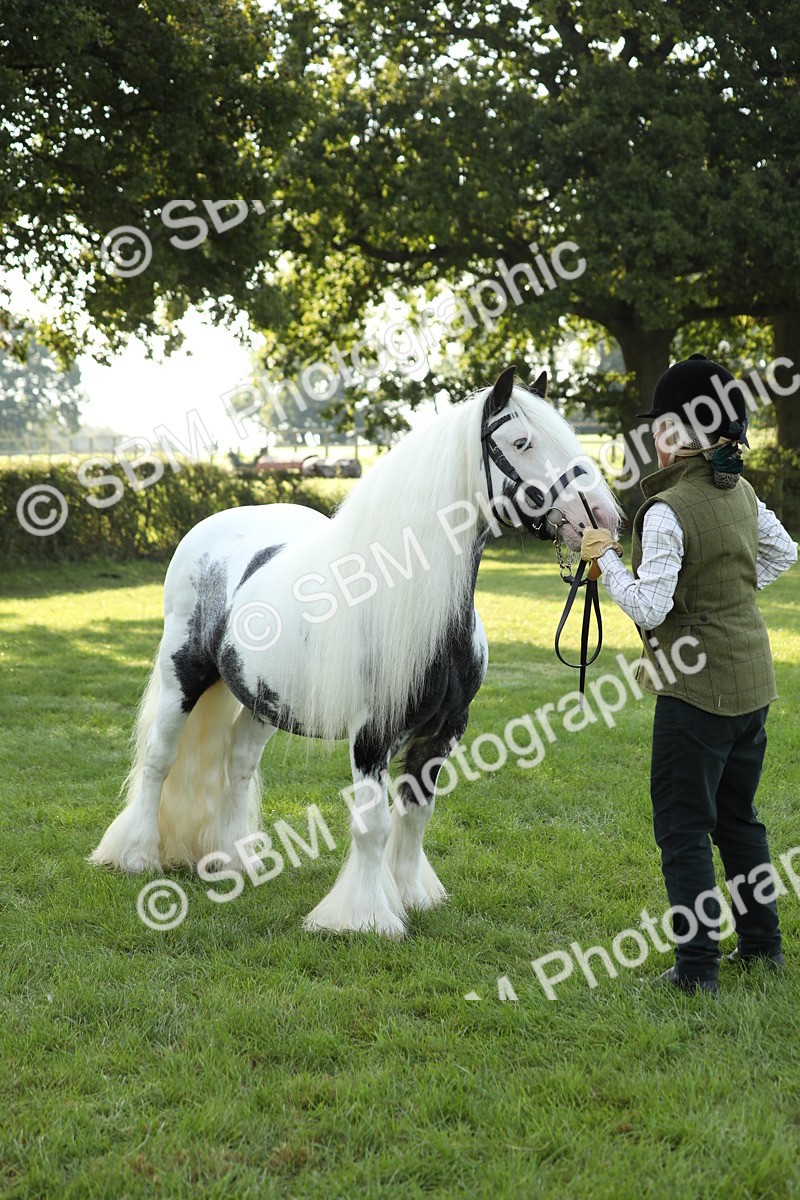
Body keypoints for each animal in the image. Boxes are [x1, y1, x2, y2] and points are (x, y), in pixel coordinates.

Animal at [90, 365, 620, 937]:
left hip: (263, 700)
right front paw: (364, 918)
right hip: (182, 678)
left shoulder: (445, 730)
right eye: (522, 443)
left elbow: (416, 815)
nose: (602, 517)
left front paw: (412, 895)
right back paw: (137, 856)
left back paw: (234, 861)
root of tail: (211, 530)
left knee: (238, 766)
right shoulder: (371, 735)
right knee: (159, 760)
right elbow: (373, 824)